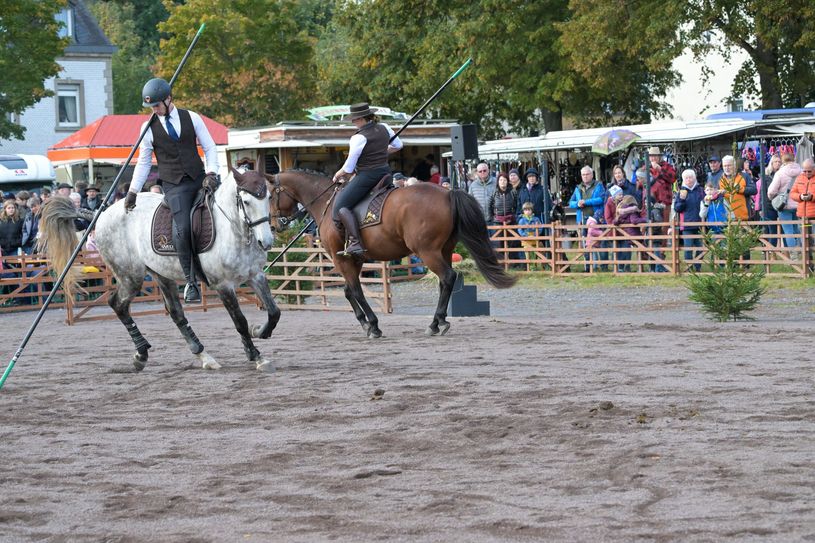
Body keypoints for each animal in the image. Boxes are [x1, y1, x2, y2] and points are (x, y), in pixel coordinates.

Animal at [268, 172, 516, 338]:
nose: (273, 226)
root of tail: (447, 192)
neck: (325, 202)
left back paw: (436, 323)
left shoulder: (342, 259)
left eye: (269, 195)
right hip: (444, 250)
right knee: (444, 282)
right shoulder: (354, 259)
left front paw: (373, 325)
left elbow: (355, 291)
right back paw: (438, 320)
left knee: (447, 277)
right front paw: (364, 322)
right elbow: (349, 291)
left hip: (427, 251)